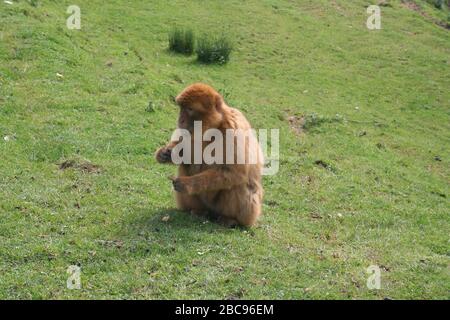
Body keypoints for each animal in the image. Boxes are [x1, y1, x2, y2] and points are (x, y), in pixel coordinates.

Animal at [156, 82, 266, 228]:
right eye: (181, 108)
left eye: (189, 109)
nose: (180, 119)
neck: (215, 126)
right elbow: (187, 152)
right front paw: (164, 153)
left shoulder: (234, 129)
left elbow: (236, 172)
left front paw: (187, 184)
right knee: (185, 166)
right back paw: (198, 211)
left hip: (247, 213)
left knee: (239, 183)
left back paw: (230, 219)